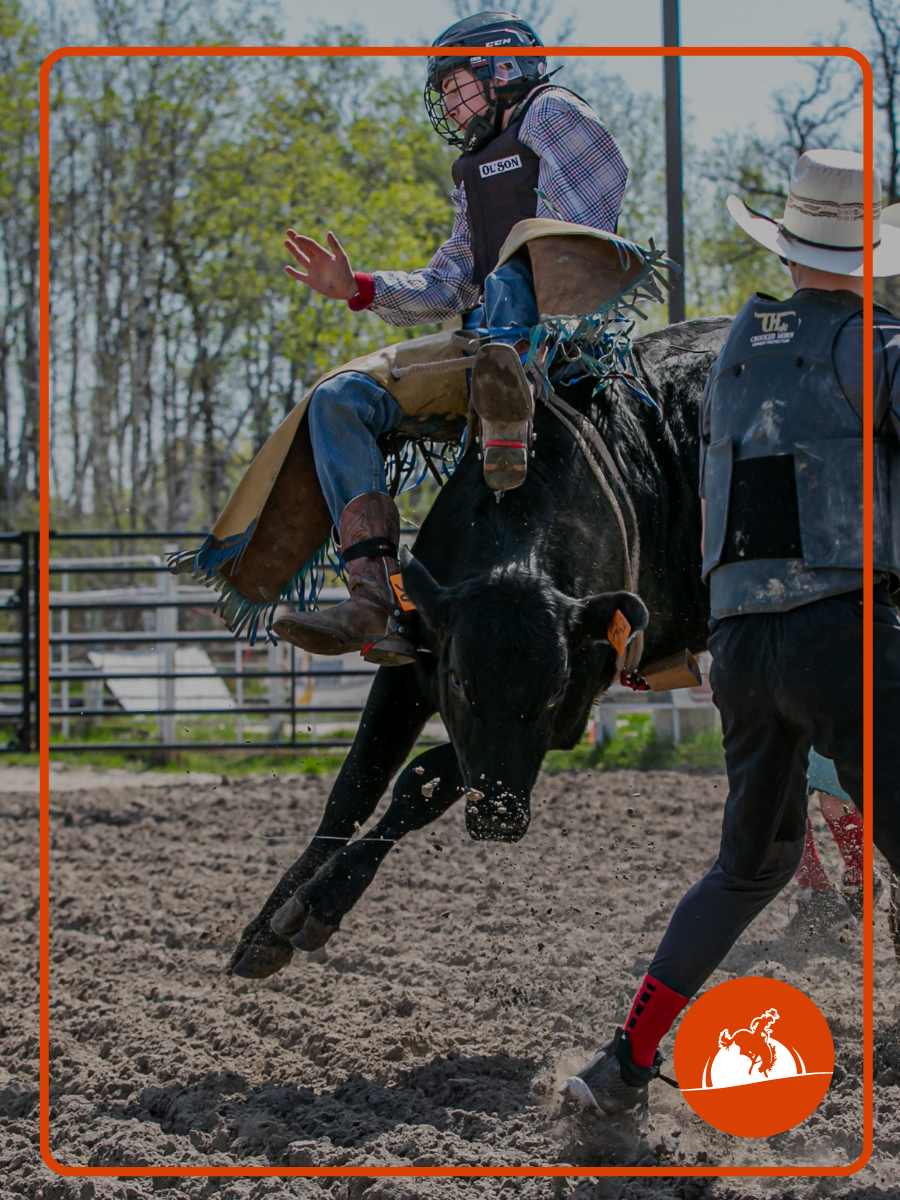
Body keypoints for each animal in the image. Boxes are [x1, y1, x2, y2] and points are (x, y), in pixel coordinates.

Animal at [228, 316, 731, 979]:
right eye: (461, 682)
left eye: (553, 690)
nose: (501, 816)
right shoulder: (410, 667)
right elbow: (355, 785)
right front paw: (266, 926)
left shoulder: (573, 710)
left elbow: (420, 783)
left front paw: (321, 904)